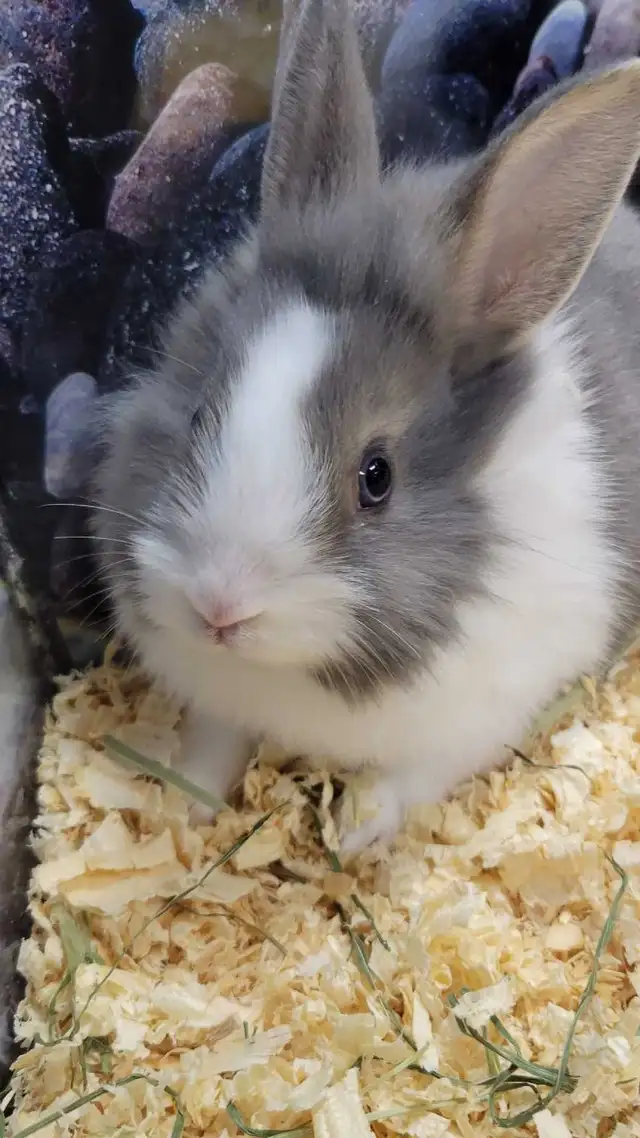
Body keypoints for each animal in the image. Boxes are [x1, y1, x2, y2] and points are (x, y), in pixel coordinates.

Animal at [93, 0, 640, 854]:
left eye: (375, 478)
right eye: (201, 412)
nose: (218, 607)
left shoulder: (478, 717)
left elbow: (407, 783)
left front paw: (352, 834)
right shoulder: (219, 701)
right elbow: (214, 746)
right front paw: (192, 812)